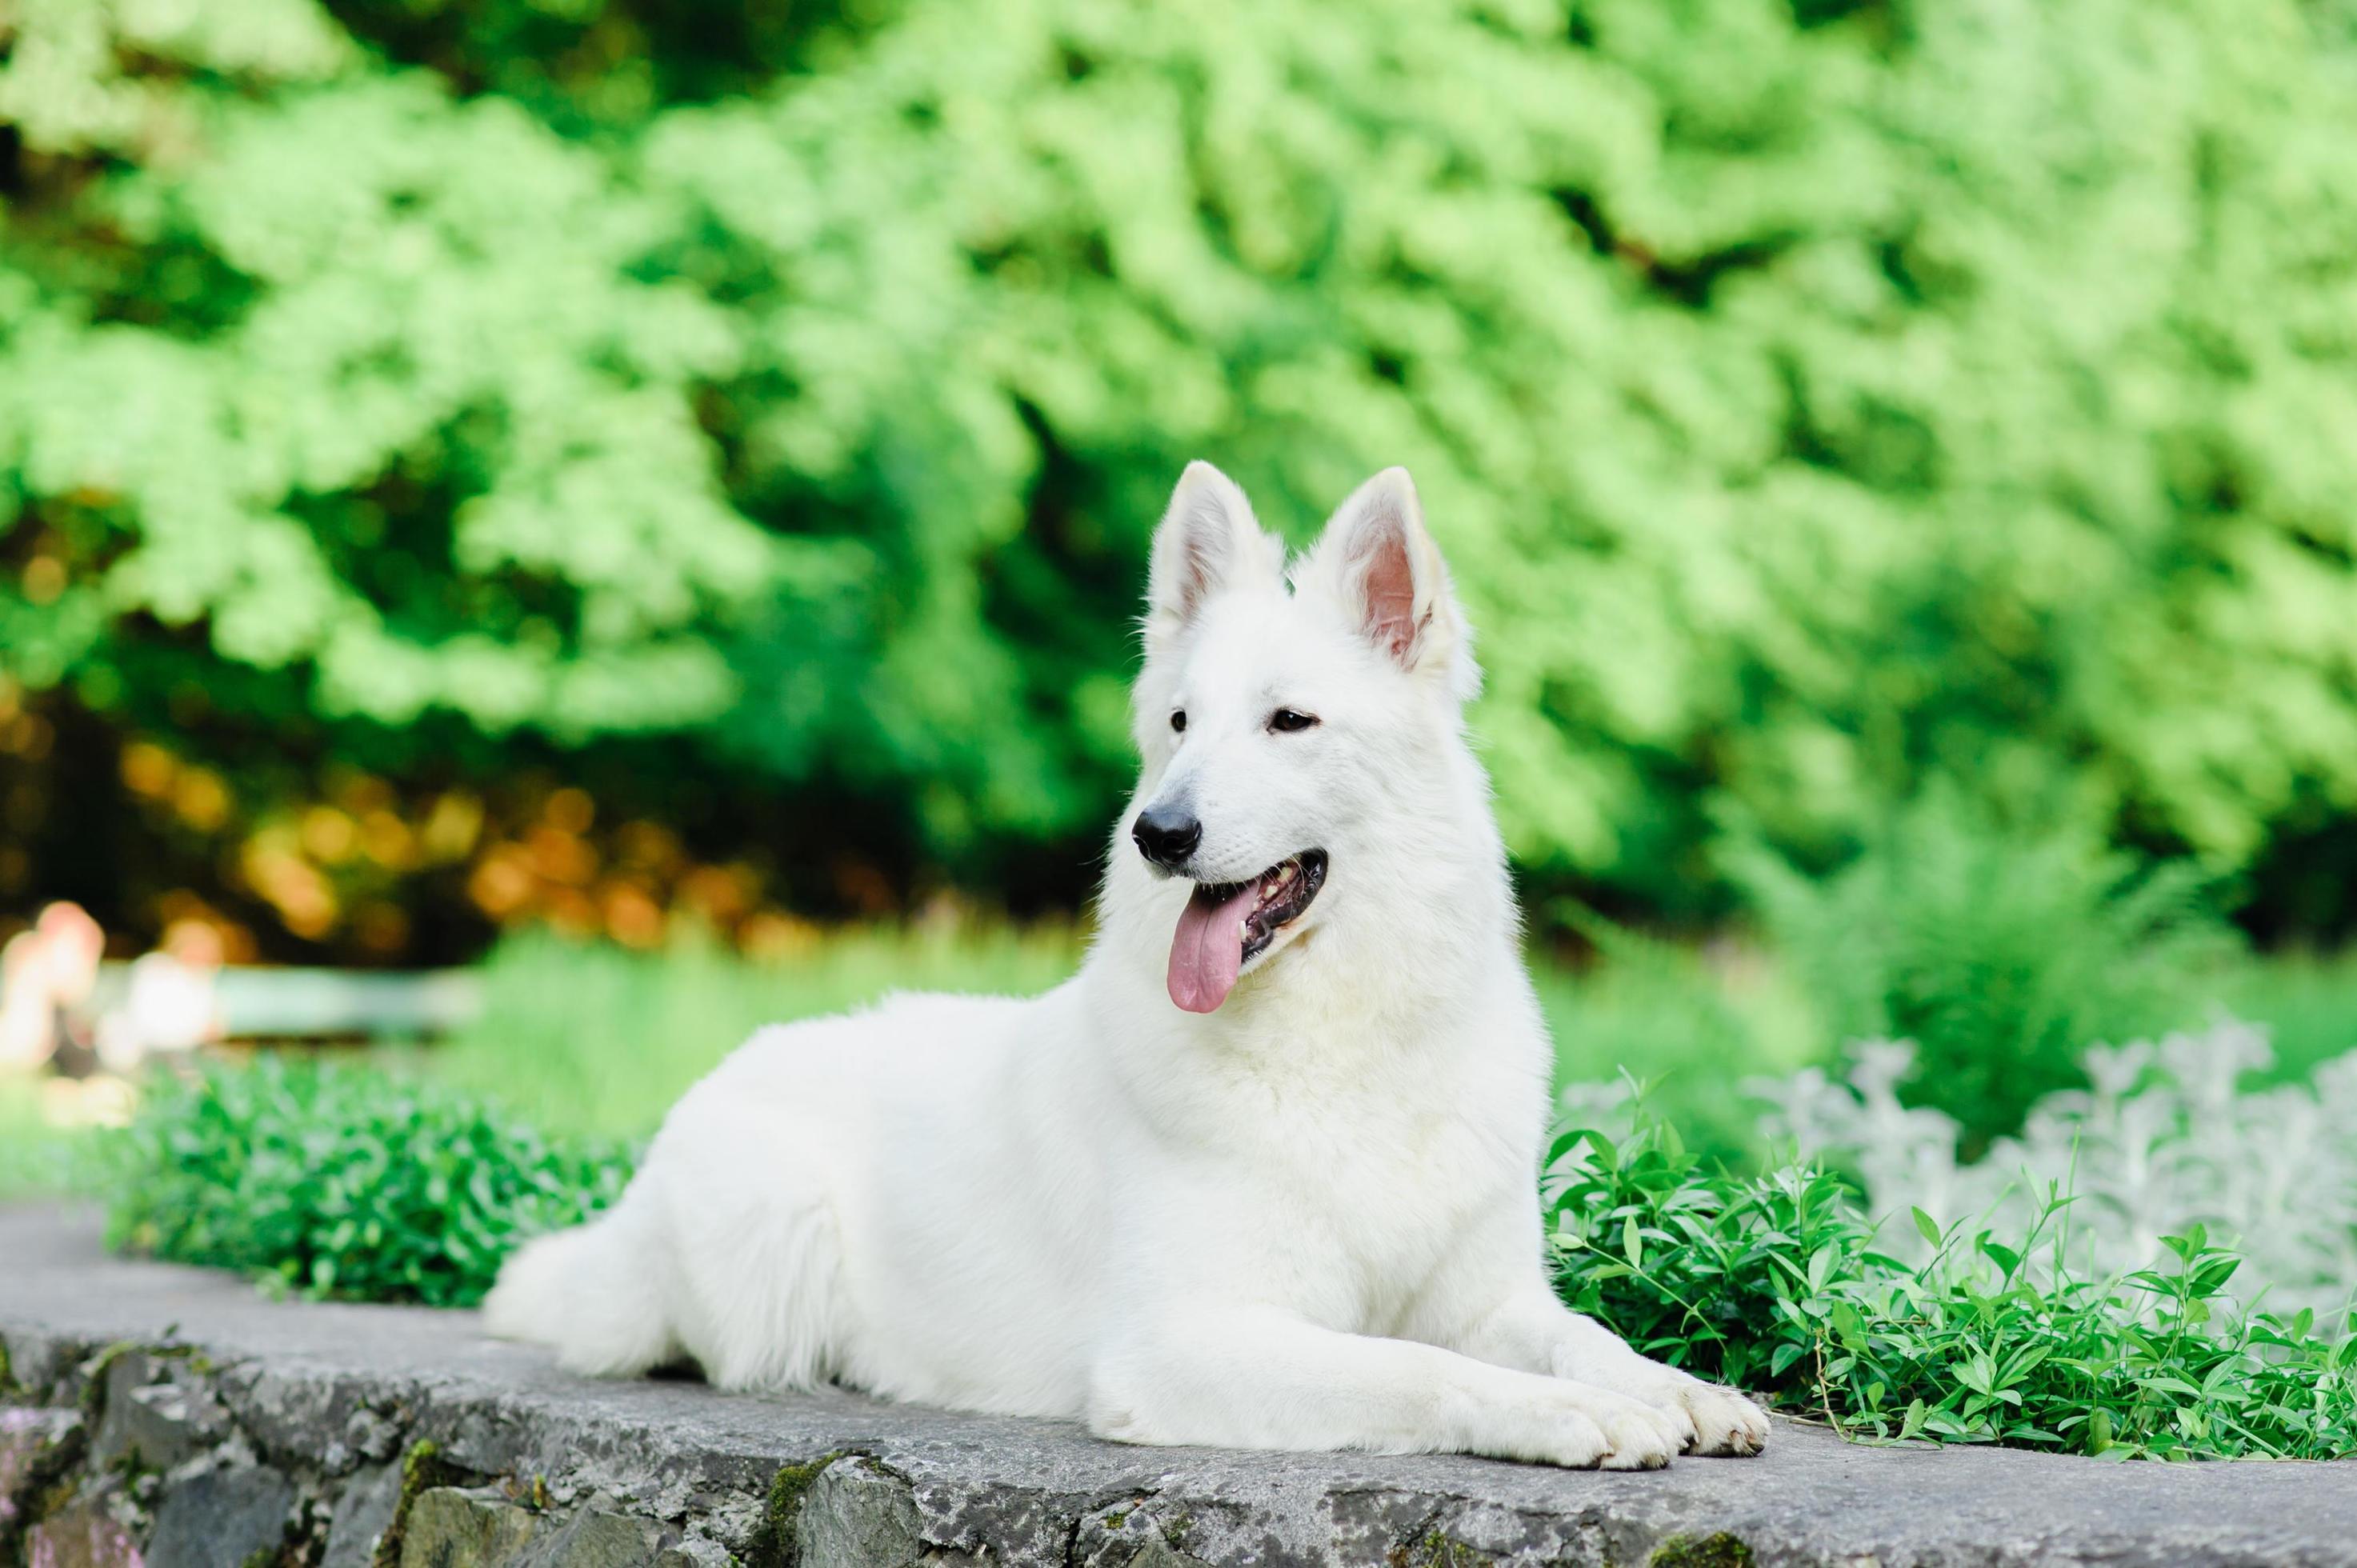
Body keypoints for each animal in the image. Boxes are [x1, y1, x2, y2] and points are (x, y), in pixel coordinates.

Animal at [482, 462, 1772, 1471]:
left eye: (1290, 722)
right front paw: (1569, 1413)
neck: (1342, 1036)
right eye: (1181, 725)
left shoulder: (1490, 1296)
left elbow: (1582, 1336)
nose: (1161, 833)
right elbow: (1411, 1367)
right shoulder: (1186, 1341)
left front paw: (1681, 1390)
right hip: (769, 1225)